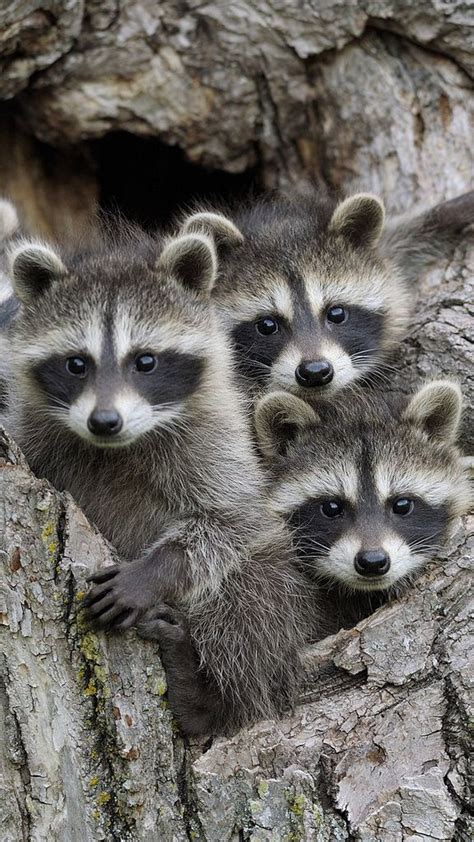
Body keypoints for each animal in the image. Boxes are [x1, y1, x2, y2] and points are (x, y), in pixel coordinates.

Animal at [6, 226, 308, 732]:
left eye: (145, 361)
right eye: (76, 363)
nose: (104, 421)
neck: (118, 446)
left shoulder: (216, 438)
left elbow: (232, 521)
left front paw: (152, 571)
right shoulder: (35, 433)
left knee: (248, 598)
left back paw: (208, 696)